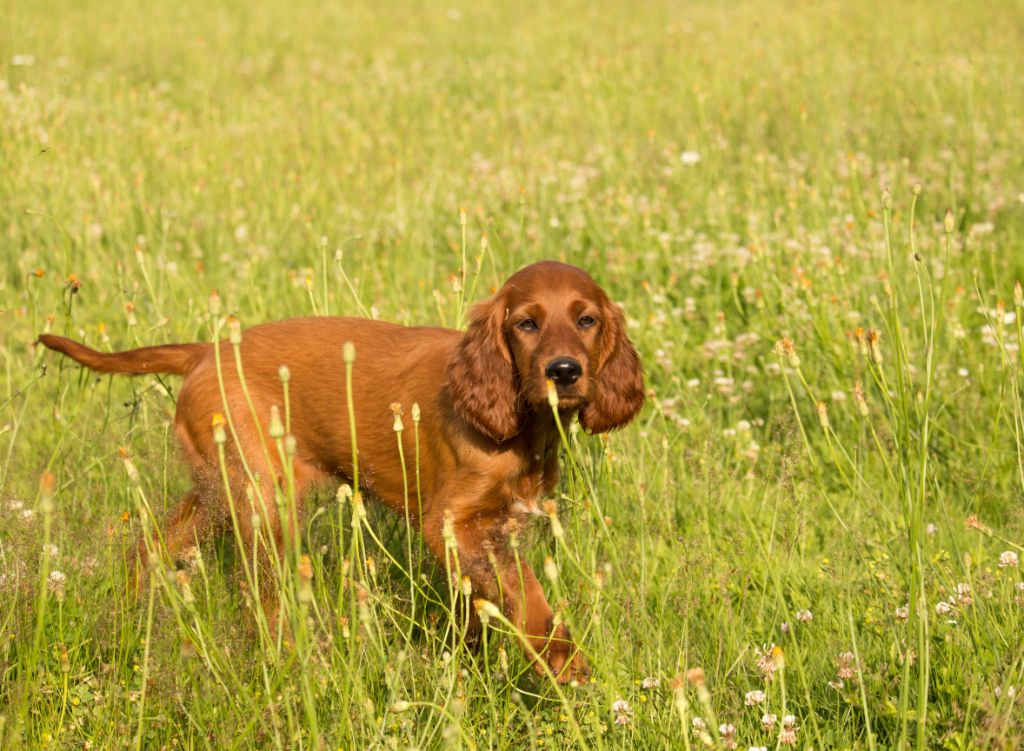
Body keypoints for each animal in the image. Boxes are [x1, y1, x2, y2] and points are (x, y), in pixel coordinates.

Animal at [41, 260, 647, 684]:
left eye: (587, 320)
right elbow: (527, 593)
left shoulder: (499, 527)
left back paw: (133, 609)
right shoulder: (453, 522)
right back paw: (293, 662)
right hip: (265, 497)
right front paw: (564, 659)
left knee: (152, 544)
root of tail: (205, 351)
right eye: (525, 324)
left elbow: (488, 599)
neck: (519, 422)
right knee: (263, 596)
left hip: (221, 489)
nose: (564, 371)